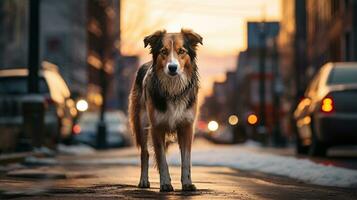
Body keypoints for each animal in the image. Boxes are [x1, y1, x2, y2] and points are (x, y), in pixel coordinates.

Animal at [128, 28, 202, 191]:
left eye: (181, 51)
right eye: (163, 51)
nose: (172, 67)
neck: (173, 88)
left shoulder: (187, 127)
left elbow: (186, 160)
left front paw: (187, 183)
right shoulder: (156, 127)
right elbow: (162, 159)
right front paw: (166, 183)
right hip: (141, 124)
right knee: (145, 153)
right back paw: (143, 181)